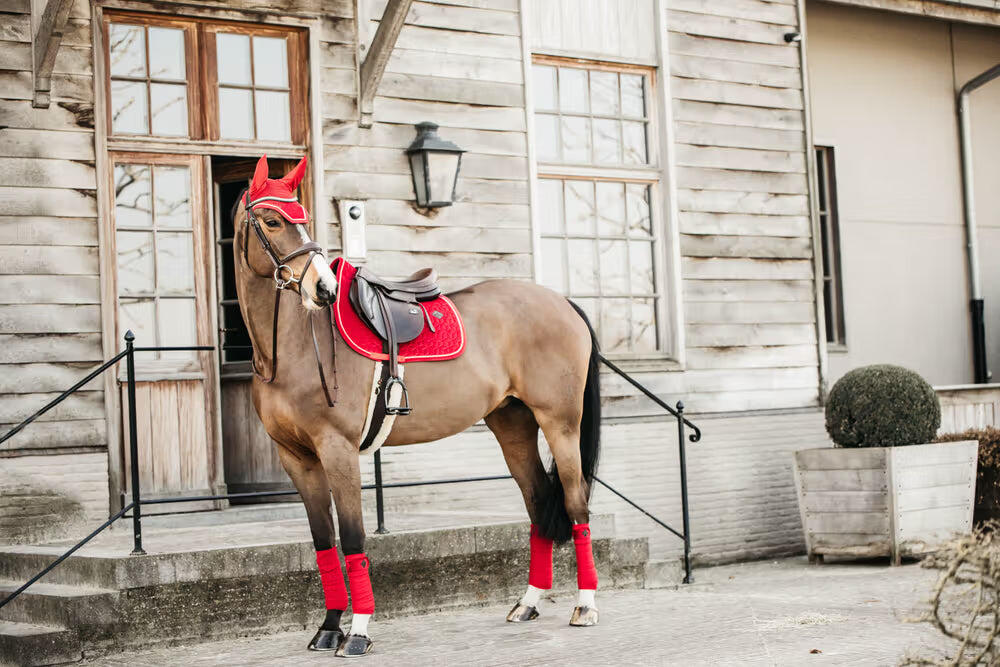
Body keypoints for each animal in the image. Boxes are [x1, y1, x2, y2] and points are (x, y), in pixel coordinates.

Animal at [233, 155, 602, 657]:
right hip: (513, 427)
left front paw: (359, 632)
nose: (323, 289)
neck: (292, 348)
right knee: (538, 504)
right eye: (272, 221)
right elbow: (324, 543)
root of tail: (560, 301)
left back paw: (585, 605)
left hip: (560, 424)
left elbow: (353, 539)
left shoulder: (338, 452)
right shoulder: (297, 459)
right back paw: (528, 602)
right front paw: (329, 627)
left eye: (302, 218)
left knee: (576, 504)